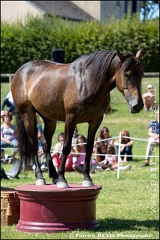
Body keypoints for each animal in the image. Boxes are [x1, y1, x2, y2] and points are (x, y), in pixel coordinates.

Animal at [10, 48, 144, 188]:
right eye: (127, 74)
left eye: (141, 74)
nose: (138, 105)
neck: (87, 82)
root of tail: (21, 70)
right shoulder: (71, 119)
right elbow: (66, 147)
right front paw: (62, 179)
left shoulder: (96, 121)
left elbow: (89, 148)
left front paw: (87, 178)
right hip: (28, 115)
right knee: (34, 144)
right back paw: (40, 177)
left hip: (49, 119)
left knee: (46, 145)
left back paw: (54, 176)